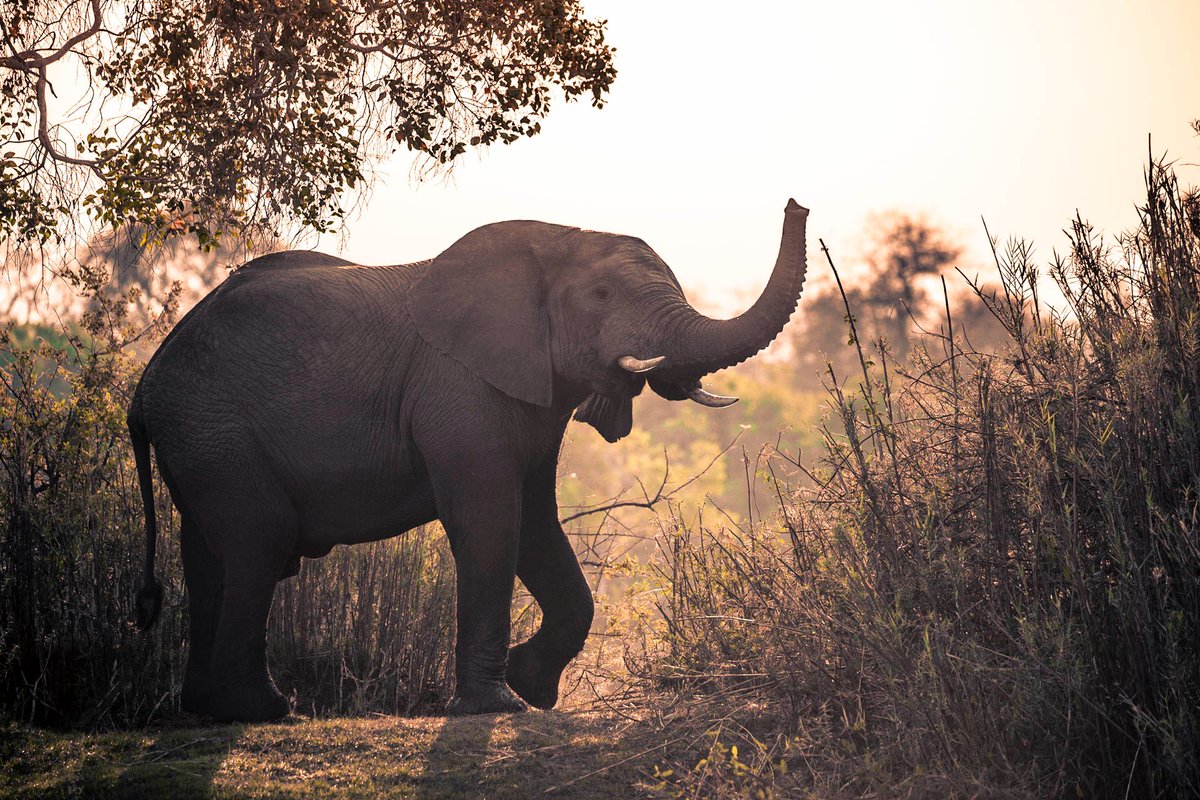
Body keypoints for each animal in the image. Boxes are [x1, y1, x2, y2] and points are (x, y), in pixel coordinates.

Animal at [129, 199, 809, 722]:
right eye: (600, 294)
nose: (796, 204)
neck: (555, 238)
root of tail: (144, 388)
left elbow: (535, 522)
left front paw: (532, 687)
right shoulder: (457, 384)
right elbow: (490, 521)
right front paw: (497, 706)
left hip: (201, 444)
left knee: (208, 556)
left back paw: (206, 709)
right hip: (216, 434)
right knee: (258, 547)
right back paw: (266, 710)